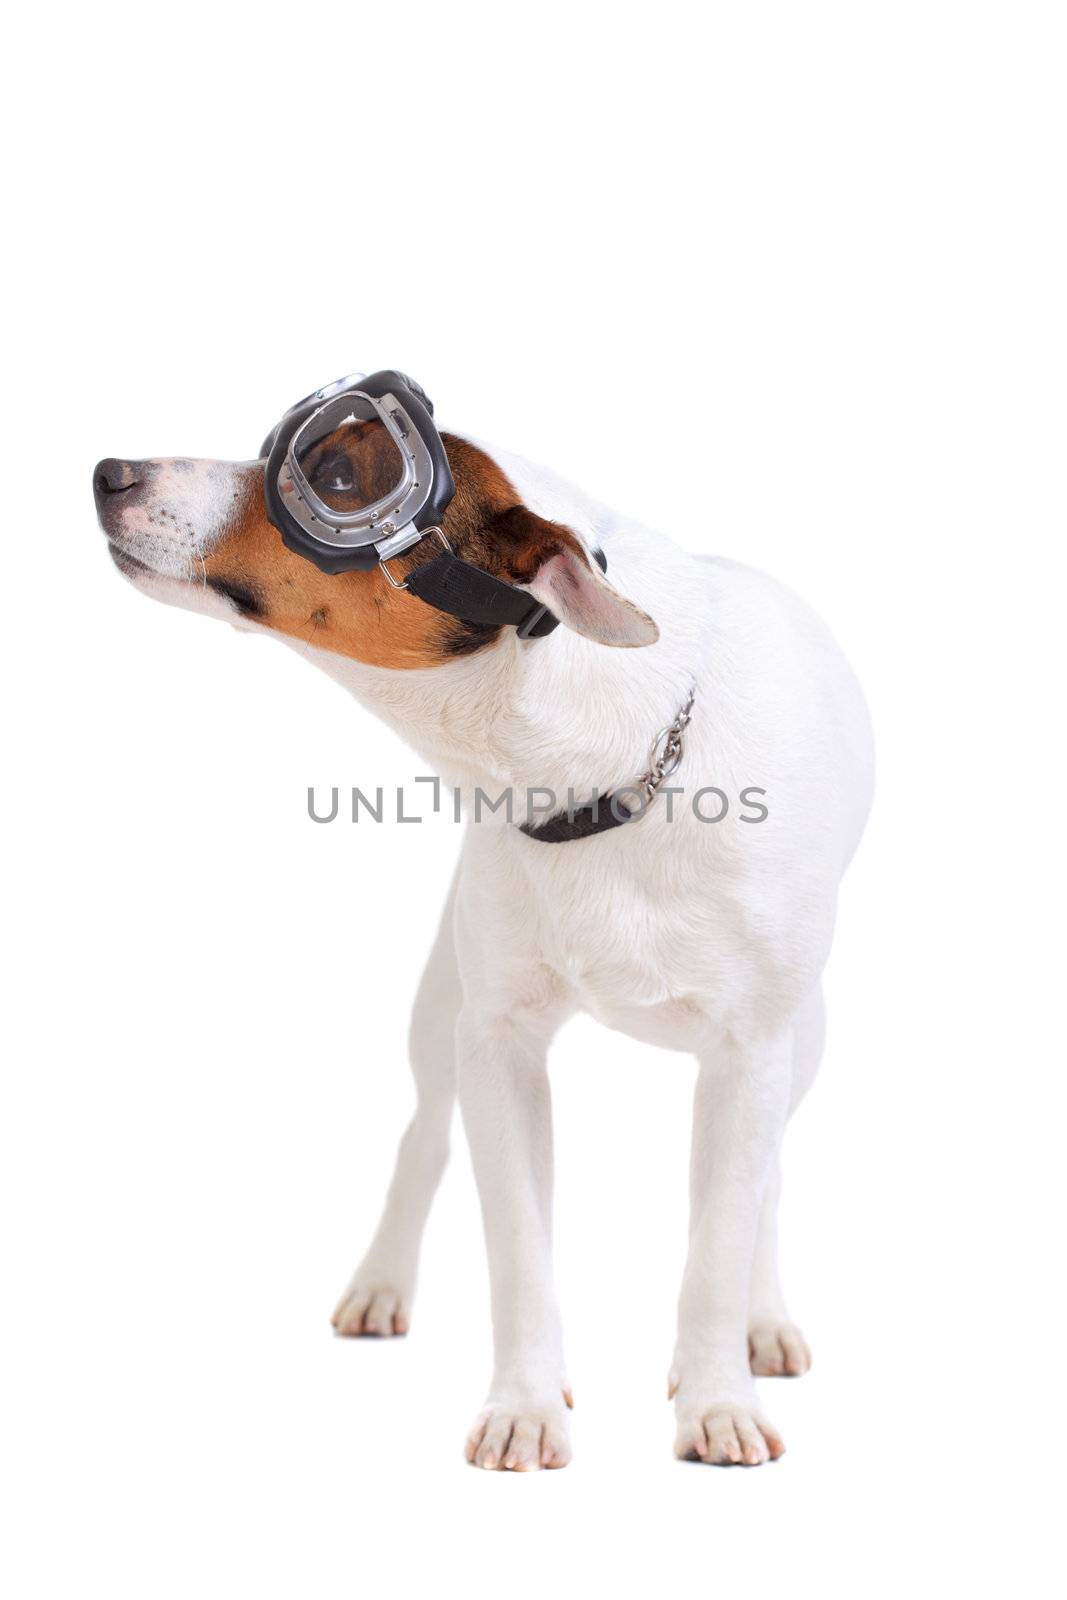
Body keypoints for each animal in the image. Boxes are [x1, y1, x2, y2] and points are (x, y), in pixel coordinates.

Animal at [95, 377, 870, 1472]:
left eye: (338, 476)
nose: (109, 471)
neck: (609, 775)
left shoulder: (750, 1050)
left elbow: (718, 1239)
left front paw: (716, 1397)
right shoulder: (496, 1045)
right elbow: (516, 1248)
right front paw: (525, 1406)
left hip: (799, 1044)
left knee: (761, 1187)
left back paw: (761, 1321)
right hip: (443, 1014)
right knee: (423, 1137)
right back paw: (381, 1282)